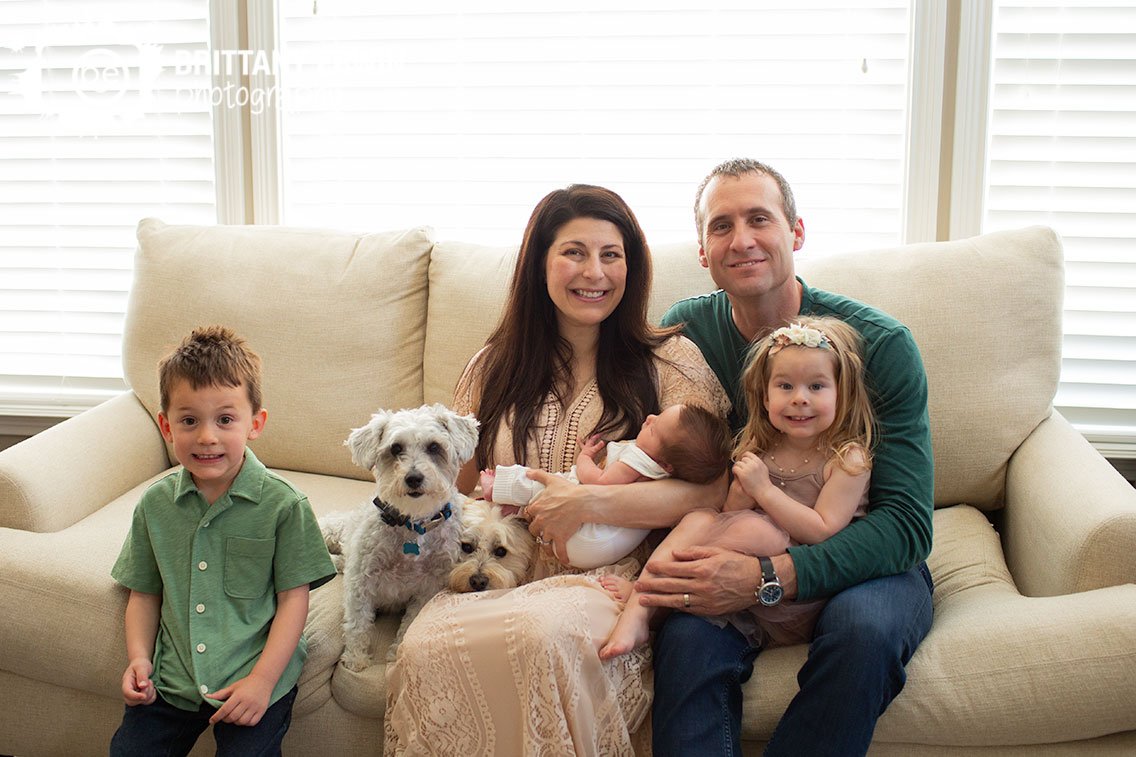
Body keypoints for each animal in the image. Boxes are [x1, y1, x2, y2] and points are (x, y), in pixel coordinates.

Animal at [322, 404, 477, 668]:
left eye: (434, 447)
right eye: (395, 448)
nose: (413, 478)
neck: (413, 524)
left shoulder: (428, 588)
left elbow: (409, 624)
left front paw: (396, 654)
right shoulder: (360, 581)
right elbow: (357, 624)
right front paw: (356, 659)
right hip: (332, 530)